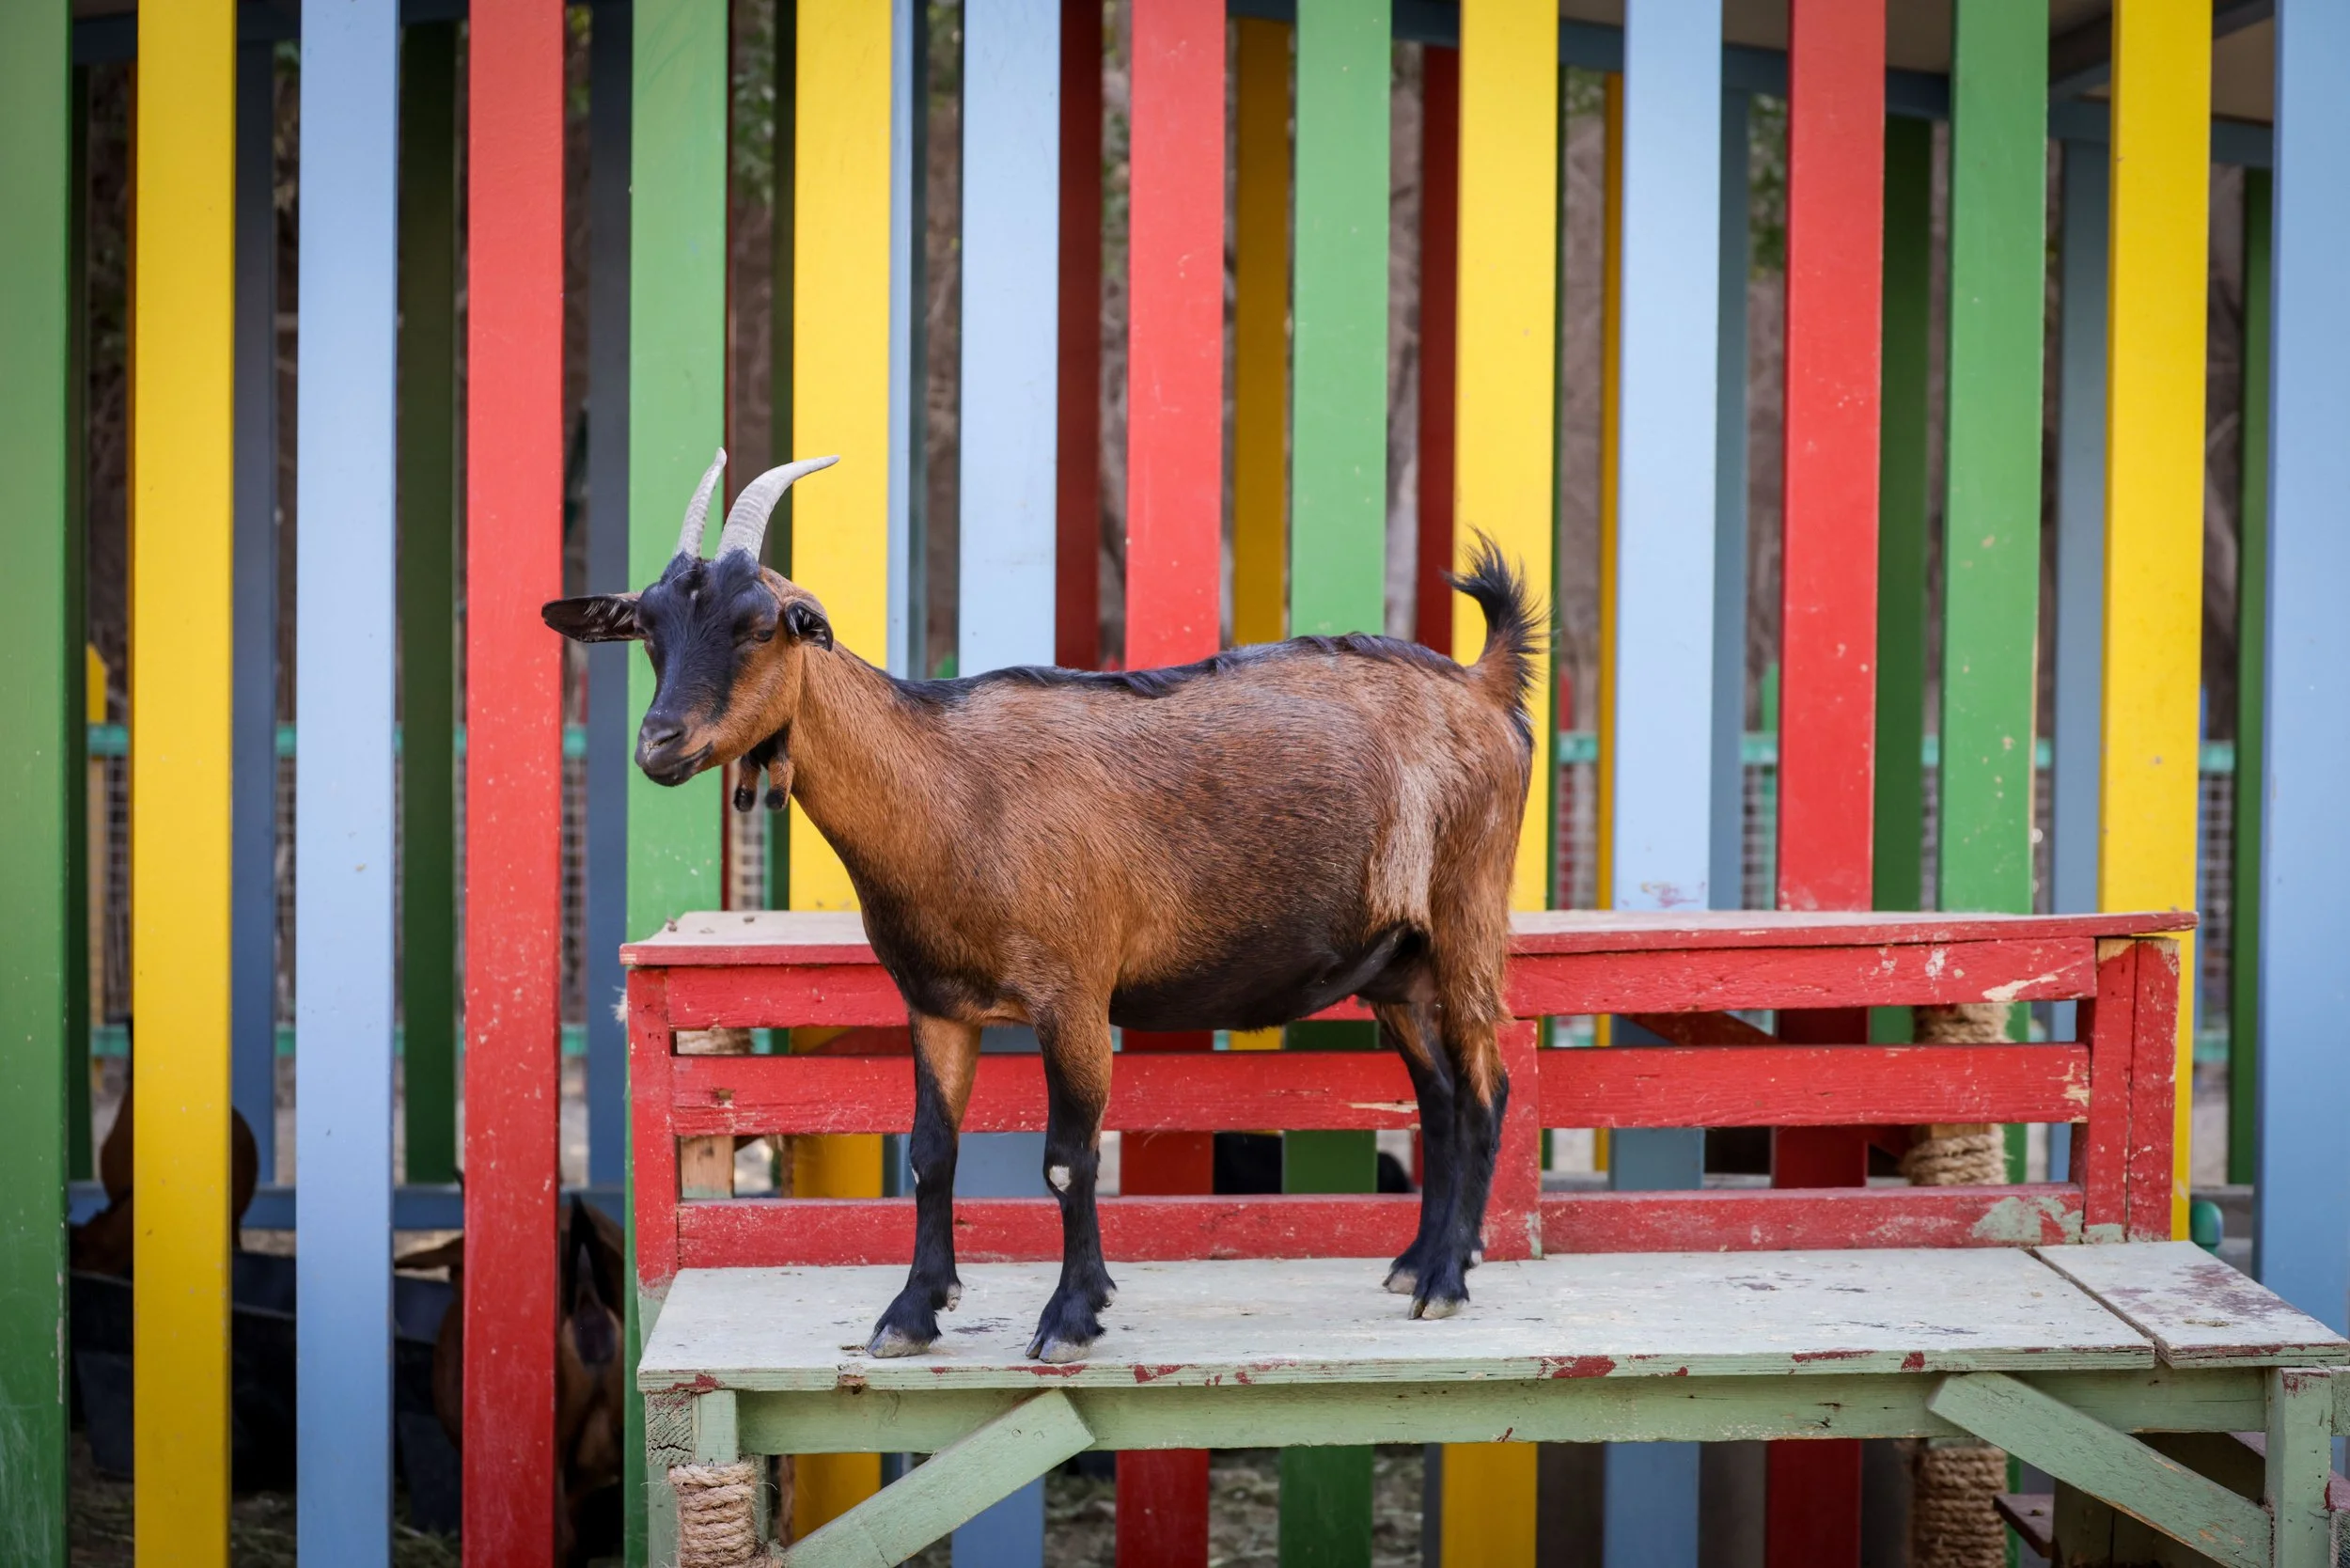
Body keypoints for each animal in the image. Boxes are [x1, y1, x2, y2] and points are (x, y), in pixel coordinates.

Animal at [545, 453, 1540, 1363]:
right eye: (649, 628)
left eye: (762, 625)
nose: (659, 744)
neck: (950, 796)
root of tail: (1483, 686)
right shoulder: (936, 1003)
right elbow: (930, 1151)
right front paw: (912, 1312)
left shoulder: (1074, 996)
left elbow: (1069, 1156)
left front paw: (1069, 1318)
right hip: (1395, 963)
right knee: (1438, 1094)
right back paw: (1414, 1263)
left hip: (1467, 914)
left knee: (1486, 1086)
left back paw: (1447, 1279)